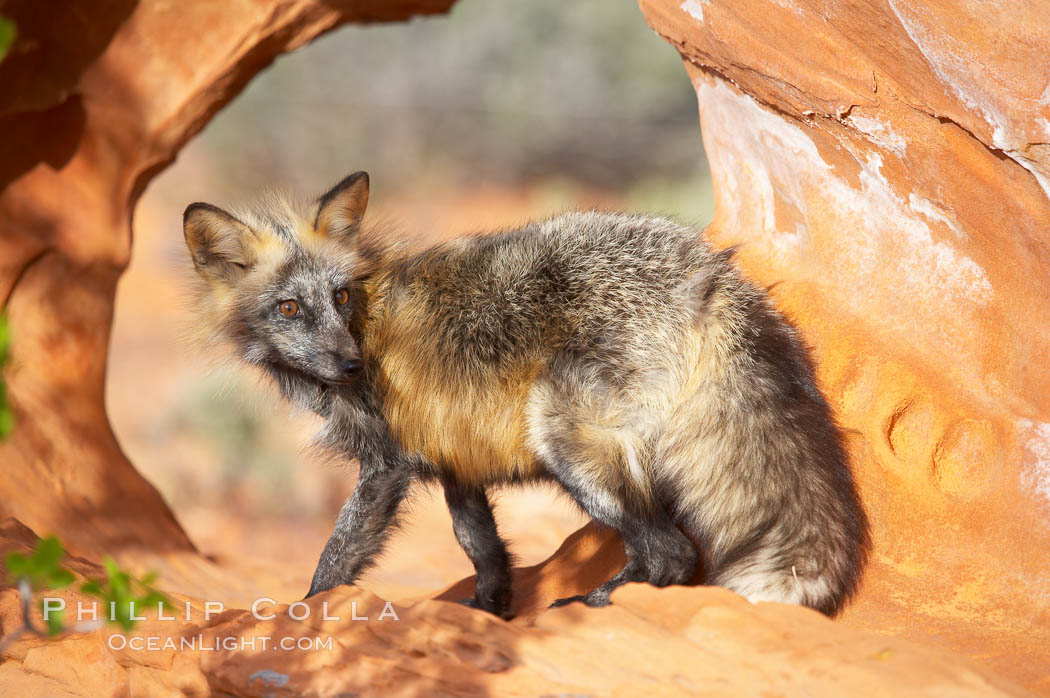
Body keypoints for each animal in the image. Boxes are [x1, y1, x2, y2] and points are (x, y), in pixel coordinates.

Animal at [182, 171, 869, 617]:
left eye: (341, 297)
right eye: (290, 308)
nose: (351, 367)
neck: (370, 317)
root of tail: (707, 270)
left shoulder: (386, 465)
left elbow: (336, 557)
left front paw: (299, 617)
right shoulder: (454, 462)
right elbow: (483, 553)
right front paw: (490, 615)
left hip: (563, 437)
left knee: (673, 552)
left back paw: (597, 603)